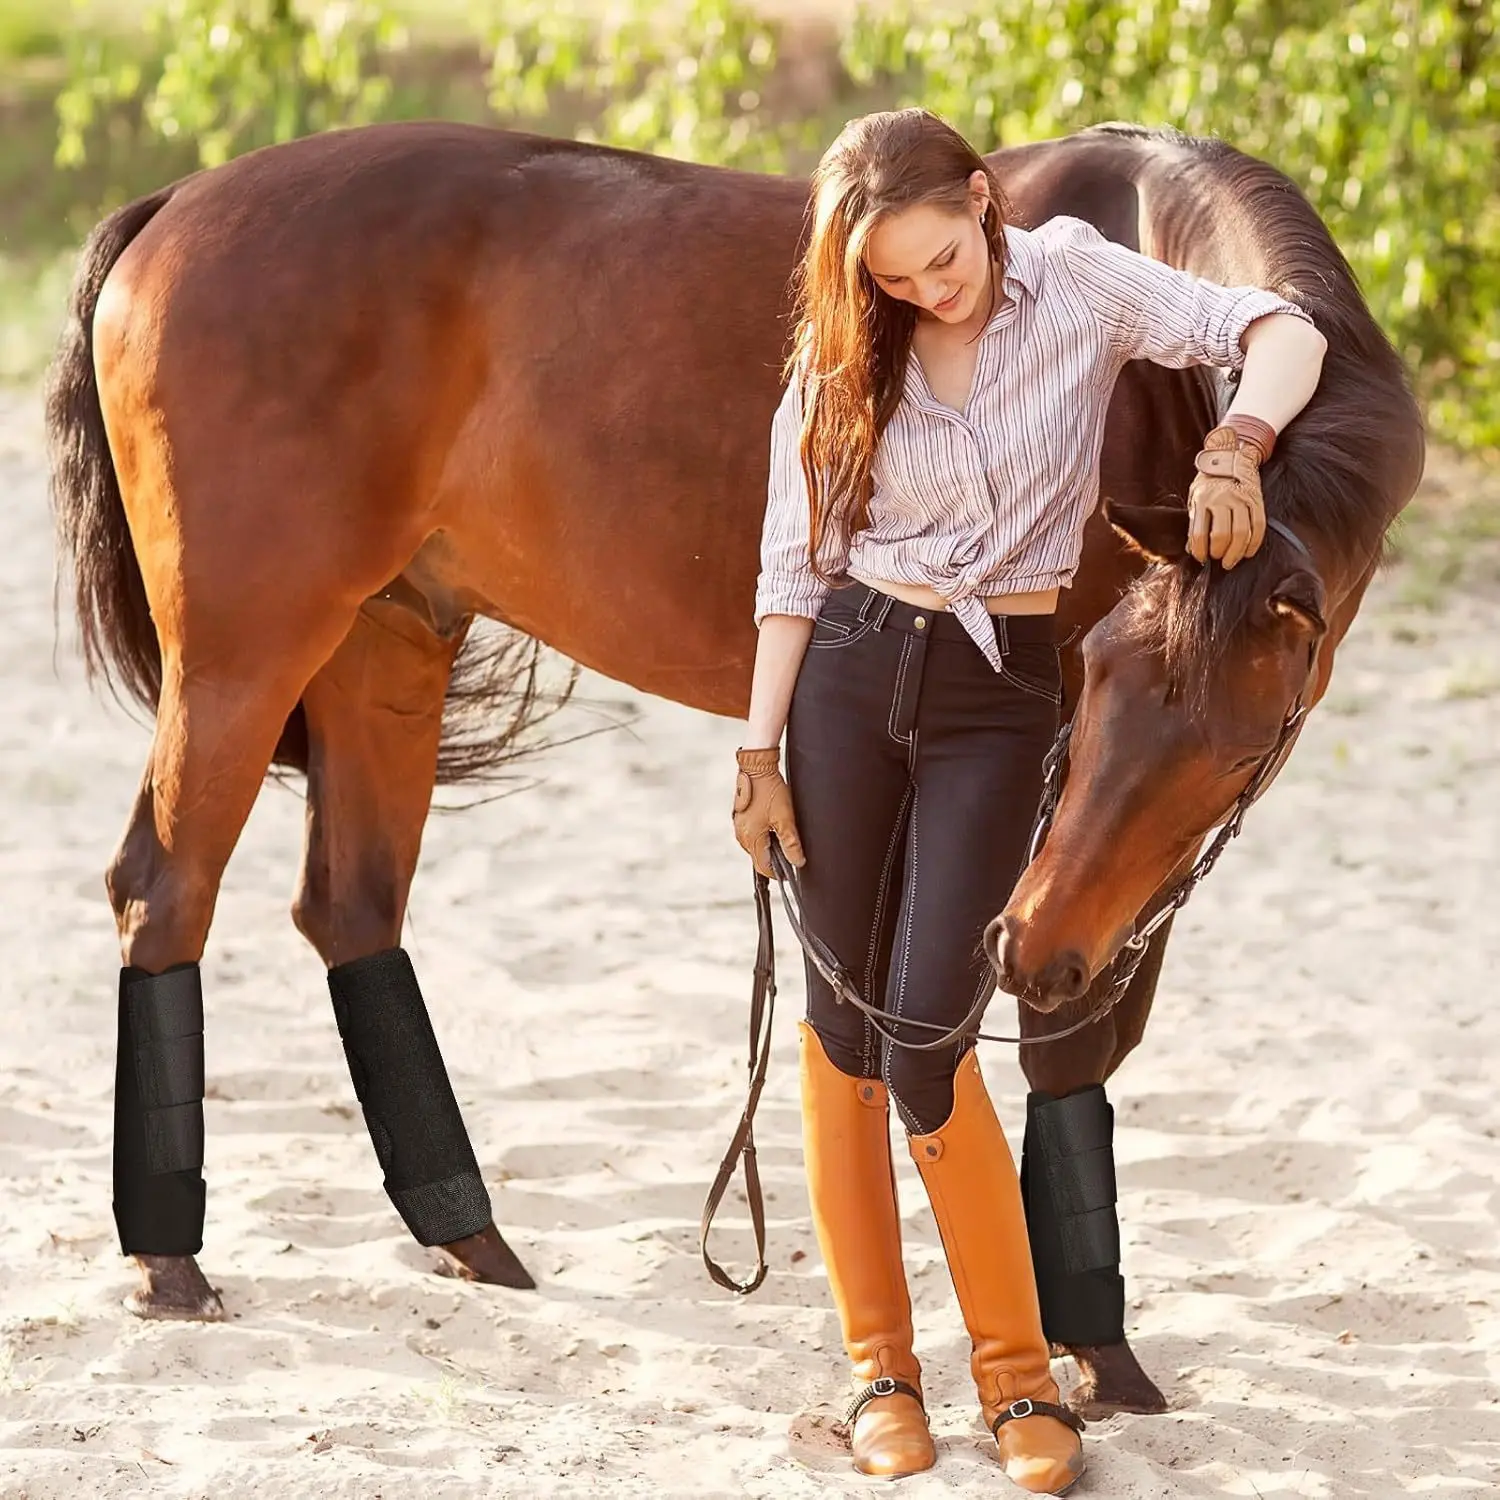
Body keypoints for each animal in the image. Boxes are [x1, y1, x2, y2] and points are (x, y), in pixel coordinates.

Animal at [46, 117, 1423, 1417]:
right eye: (1093, 686)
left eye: (1238, 743)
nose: (1030, 947)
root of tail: (176, 204)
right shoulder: (1056, 823)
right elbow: (1057, 1043)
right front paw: (1094, 1347)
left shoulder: (1115, 872)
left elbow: (1079, 1031)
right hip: (243, 661)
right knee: (162, 892)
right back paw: (171, 1263)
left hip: (386, 638)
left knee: (350, 908)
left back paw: (466, 1235)